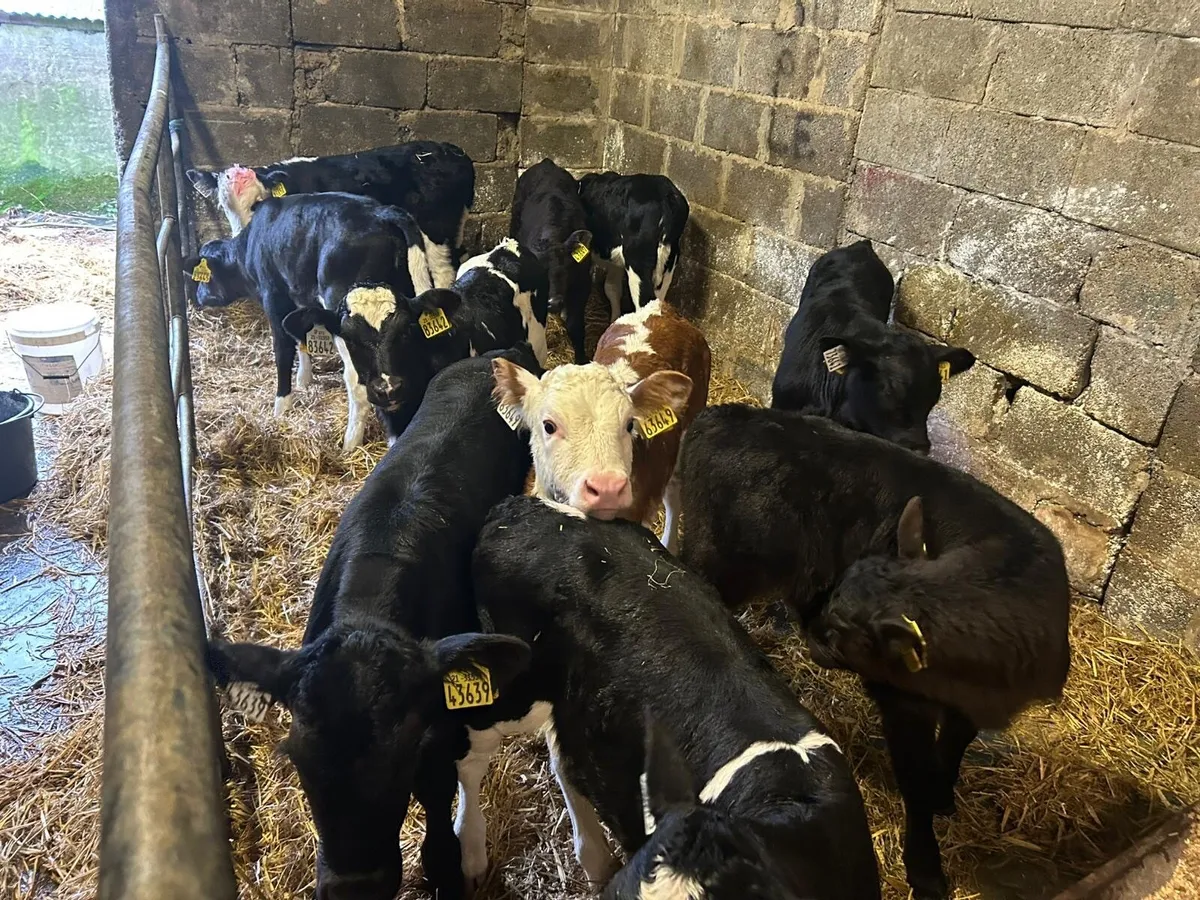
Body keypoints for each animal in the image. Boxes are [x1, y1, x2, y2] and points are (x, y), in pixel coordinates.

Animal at [183, 192, 436, 451]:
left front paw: (281, 405)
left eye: (202, 278)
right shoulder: (300, 297)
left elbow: (283, 350)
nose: (199, 298)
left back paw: (350, 443)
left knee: (356, 380)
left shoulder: (274, 297)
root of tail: (382, 211)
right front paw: (304, 378)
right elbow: (300, 334)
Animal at [678, 405, 1072, 900]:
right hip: (718, 563)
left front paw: (945, 794)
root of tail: (724, 414)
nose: (814, 631)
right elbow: (915, 782)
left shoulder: (970, 705)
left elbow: (954, 746)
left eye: (850, 631)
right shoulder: (904, 703)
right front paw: (926, 869)